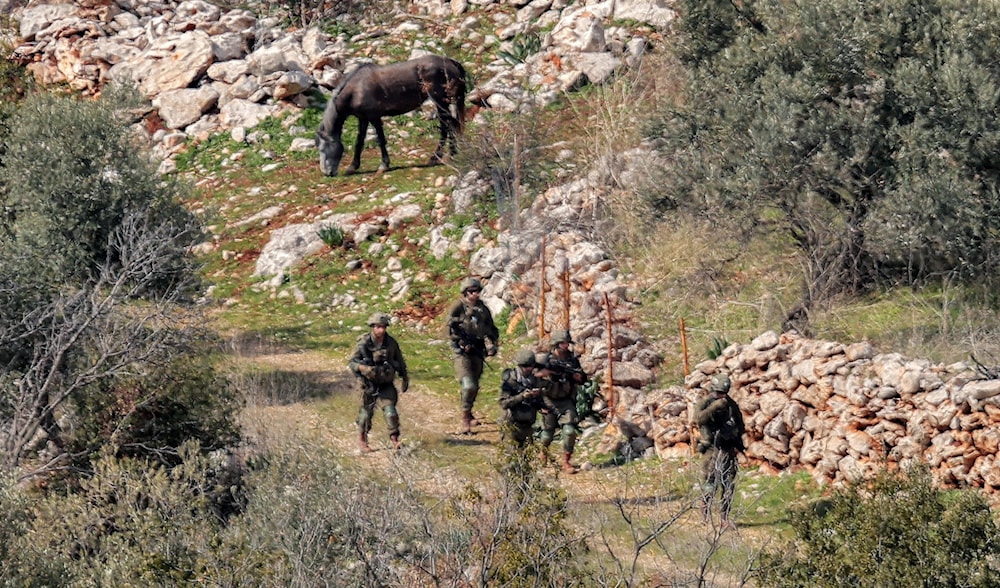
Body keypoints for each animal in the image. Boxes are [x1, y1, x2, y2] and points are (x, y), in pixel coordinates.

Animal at [314, 54, 466, 176]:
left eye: (323, 148)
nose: (327, 173)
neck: (356, 89)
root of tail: (450, 61)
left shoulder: (374, 117)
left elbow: (381, 140)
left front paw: (384, 165)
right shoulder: (363, 119)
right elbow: (359, 141)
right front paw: (353, 166)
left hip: (440, 102)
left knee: (446, 125)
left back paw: (439, 156)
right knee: (449, 123)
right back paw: (449, 154)